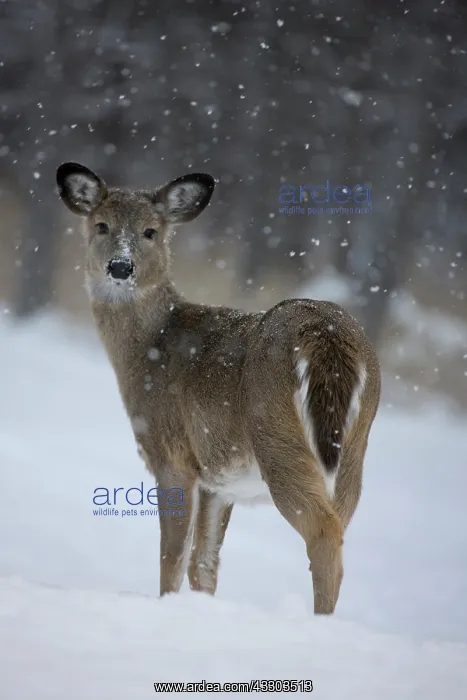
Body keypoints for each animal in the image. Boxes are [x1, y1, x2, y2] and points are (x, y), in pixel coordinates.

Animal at [56, 162, 380, 614]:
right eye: (101, 225)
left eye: (150, 231)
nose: (120, 267)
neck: (149, 347)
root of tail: (325, 335)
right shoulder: (218, 480)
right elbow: (204, 564)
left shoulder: (172, 453)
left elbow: (173, 556)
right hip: (354, 448)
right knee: (341, 523)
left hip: (277, 437)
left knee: (322, 531)